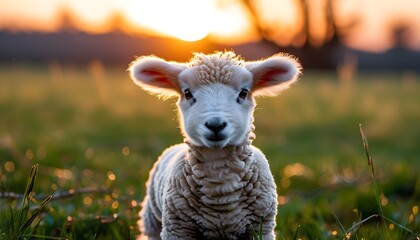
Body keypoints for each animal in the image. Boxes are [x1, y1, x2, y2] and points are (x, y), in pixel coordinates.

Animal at [129, 51, 302, 240]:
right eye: (187, 93)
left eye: (243, 92)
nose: (215, 125)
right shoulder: (177, 229)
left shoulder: (261, 228)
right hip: (152, 221)